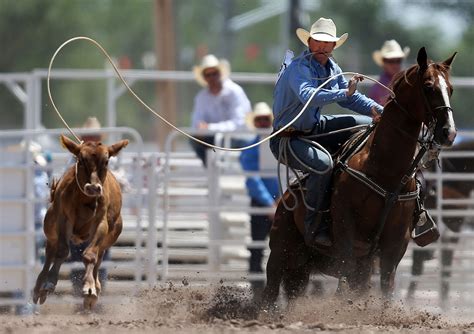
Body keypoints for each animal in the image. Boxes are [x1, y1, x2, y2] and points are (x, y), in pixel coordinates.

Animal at [32, 134, 129, 310]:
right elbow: (62, 251)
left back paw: (96, 285)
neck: (84, 199)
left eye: (106, 161)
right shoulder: (64, 219)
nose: (93, 188)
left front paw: (90, 288)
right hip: (50, 225)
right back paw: (40, 286)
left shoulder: (101, 222)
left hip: (112, 234)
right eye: (81, 160)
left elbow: (90, 255)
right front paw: (49, 282)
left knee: (99, 255)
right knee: (50, 251)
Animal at [262, 47, 458, 306]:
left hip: (307, 267)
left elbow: (386, 290)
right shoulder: (347, 234)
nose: (449, 133)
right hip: (281, 252)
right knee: (270, 291)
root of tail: (287, 197)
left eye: (451, 89)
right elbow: (343, 288)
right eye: (428, 86)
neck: (385, 170)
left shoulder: (395, 244)